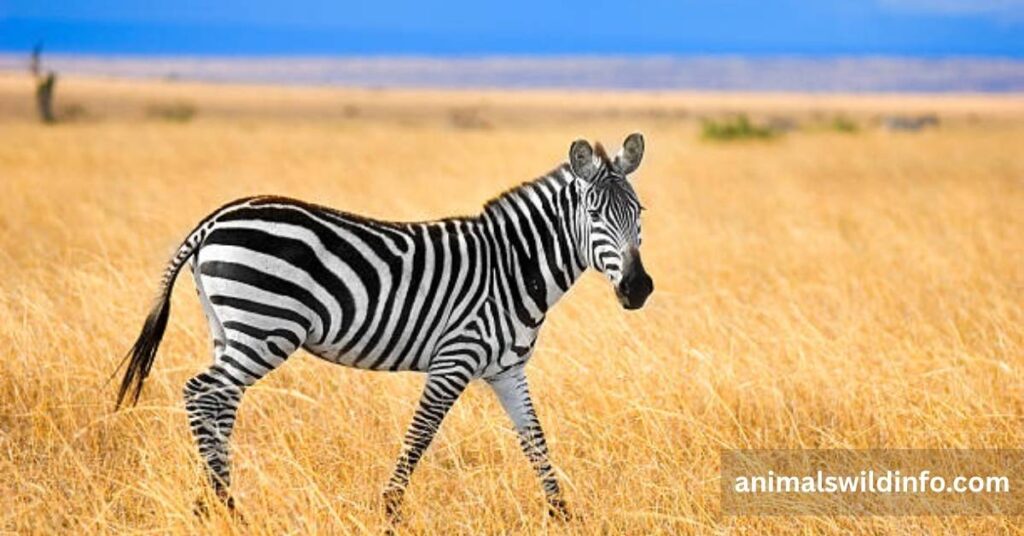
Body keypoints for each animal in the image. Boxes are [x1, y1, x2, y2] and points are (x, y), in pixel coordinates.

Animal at [114, 133, 653, 522]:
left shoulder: (507, 370)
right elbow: (421, 435)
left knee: (219, 402)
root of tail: (214, 220)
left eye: (639, 212)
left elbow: (535, 440)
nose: (639, 289)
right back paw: (224, 506)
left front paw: (562, 514)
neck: (514, 267)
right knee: (202, 393)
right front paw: (390, 511)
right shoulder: (454, 358)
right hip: (264, 328)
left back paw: (211, 505)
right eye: (594, 214)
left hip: (229, 328)